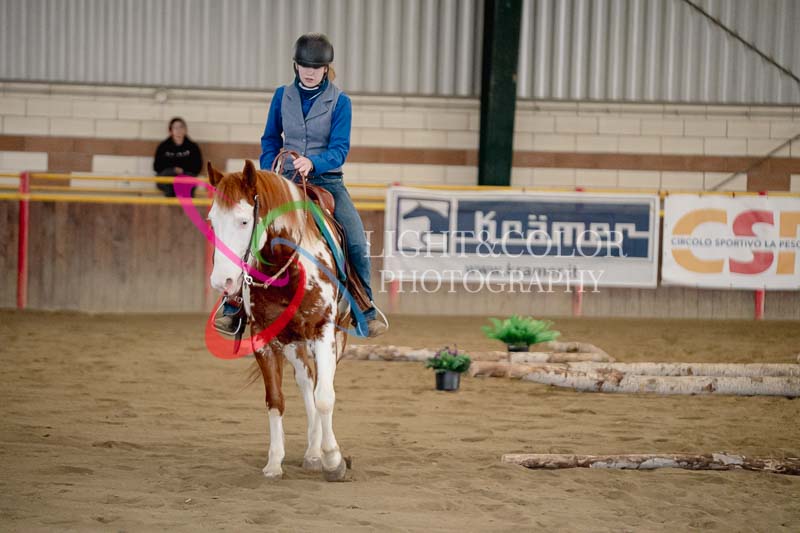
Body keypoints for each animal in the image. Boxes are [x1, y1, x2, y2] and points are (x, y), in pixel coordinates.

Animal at [206, 159, 350, 481]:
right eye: (211, 221)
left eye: (244, 221)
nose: (223, 282)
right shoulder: (264, 337)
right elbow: (275, 399)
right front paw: (274, 462)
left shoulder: (323, 331)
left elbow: (326, 396)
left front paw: (334, 460)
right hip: (293, 342)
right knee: (306, 381)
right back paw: (312, 451)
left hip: (336, 336)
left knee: (322, 384)